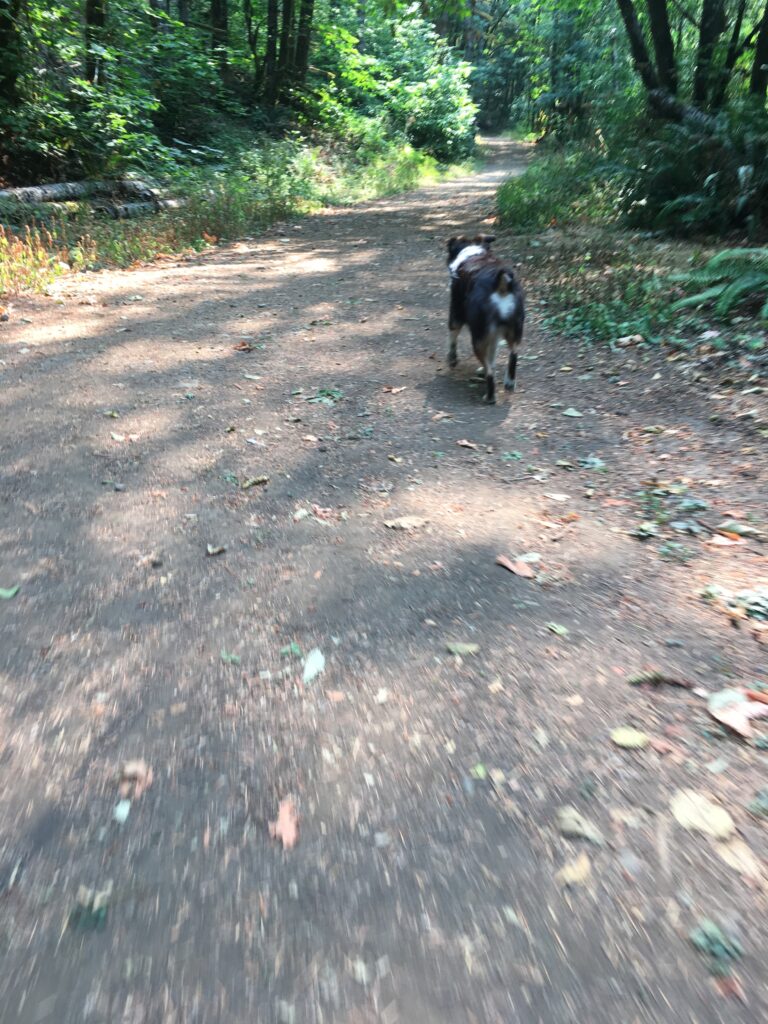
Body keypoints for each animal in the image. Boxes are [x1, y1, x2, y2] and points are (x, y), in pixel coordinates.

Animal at [448, 234, 528, 405]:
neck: (472, 252)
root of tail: (501, 284)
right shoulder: (494, 335)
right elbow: (492, 356)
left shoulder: (455, 313)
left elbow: (452, 339)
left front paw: (452, 359)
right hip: (514, 330)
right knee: (513, 355)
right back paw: (509, 382)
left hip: (478, 338)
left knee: (490, 371)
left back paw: (489, 396)